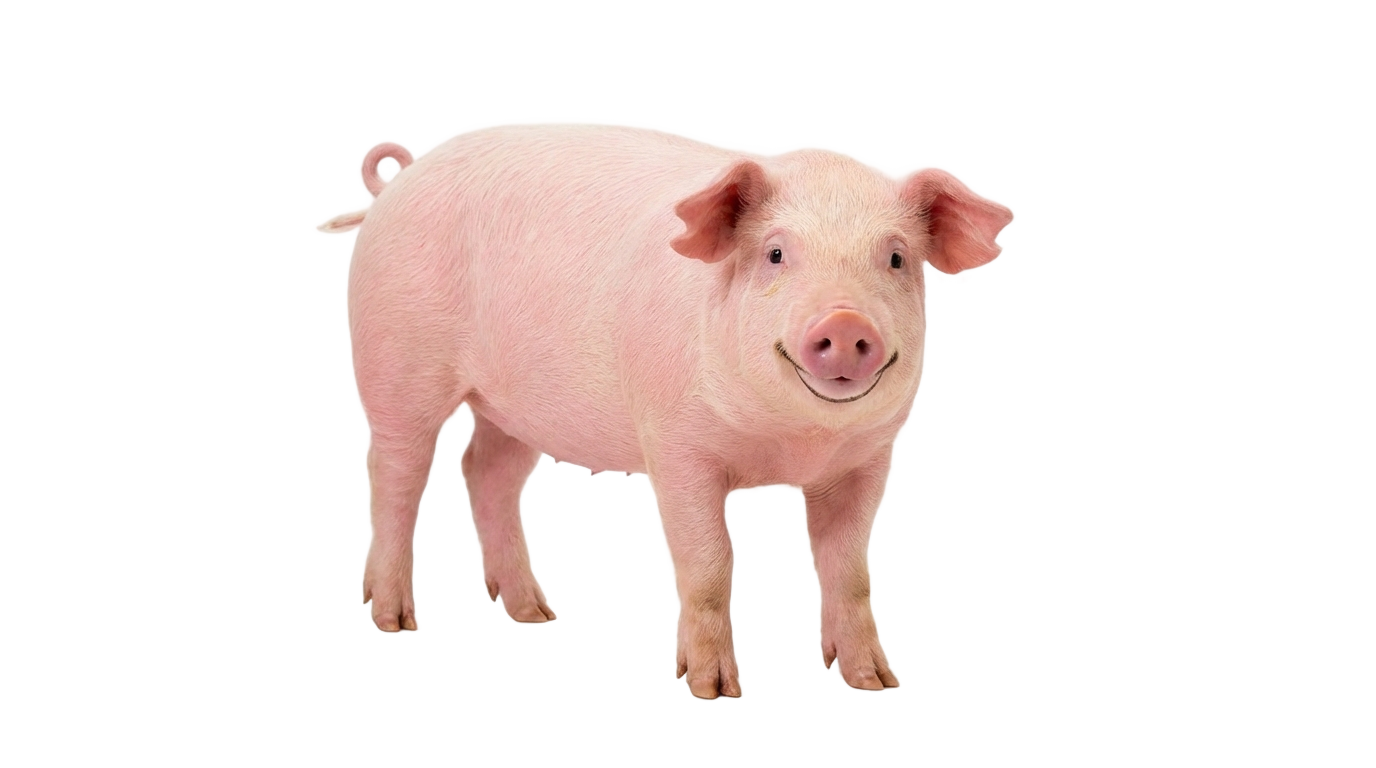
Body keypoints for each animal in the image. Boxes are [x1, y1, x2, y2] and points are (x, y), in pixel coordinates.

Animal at [333, 125, 1008, 698]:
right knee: (393, 475)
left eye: (895, 259)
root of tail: (400, 177)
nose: (845, 321)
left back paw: (532, 614)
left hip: (513, 408)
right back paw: (393, 620)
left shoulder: (866, 460)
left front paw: (872, 682)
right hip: (396, 362)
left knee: (487, 472)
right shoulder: (676, 447)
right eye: (775, 254)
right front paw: (711, 691)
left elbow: (849, 570)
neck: (789, 445)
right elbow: (708, 566)